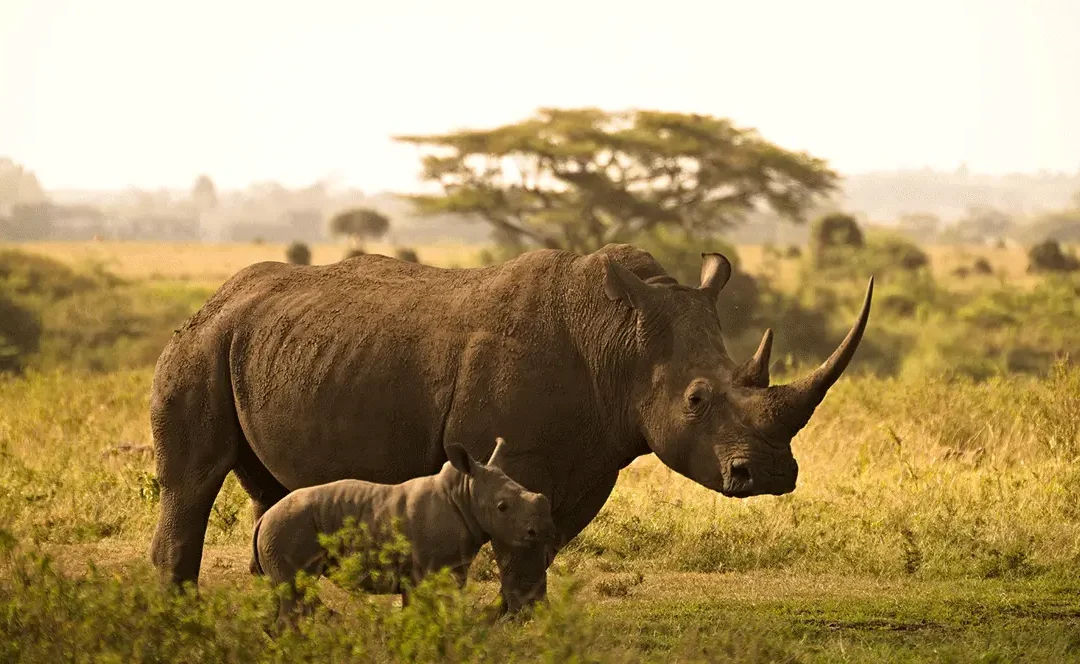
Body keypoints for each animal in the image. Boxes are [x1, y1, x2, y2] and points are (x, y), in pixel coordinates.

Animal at [252, 437, 553, 625]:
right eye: (502, 507)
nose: (539, 531)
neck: (464, 493)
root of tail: (263, 519)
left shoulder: (442, 568)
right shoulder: (429, 568)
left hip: (281, 530)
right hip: (286, 528)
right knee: (295, 593)